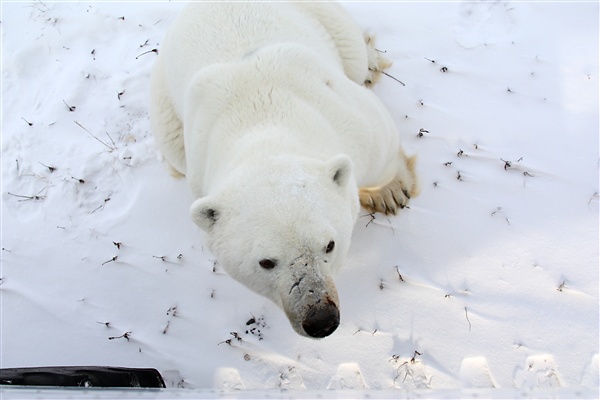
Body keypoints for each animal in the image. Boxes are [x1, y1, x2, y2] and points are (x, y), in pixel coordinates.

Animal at [151, 0, 418, 340]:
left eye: (329, 244)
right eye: (266, 262)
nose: (321, 320)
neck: (261, 123)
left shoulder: (349, 118)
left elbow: (381, 149)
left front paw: (390, 193)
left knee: (352, 50)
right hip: (166, 112)